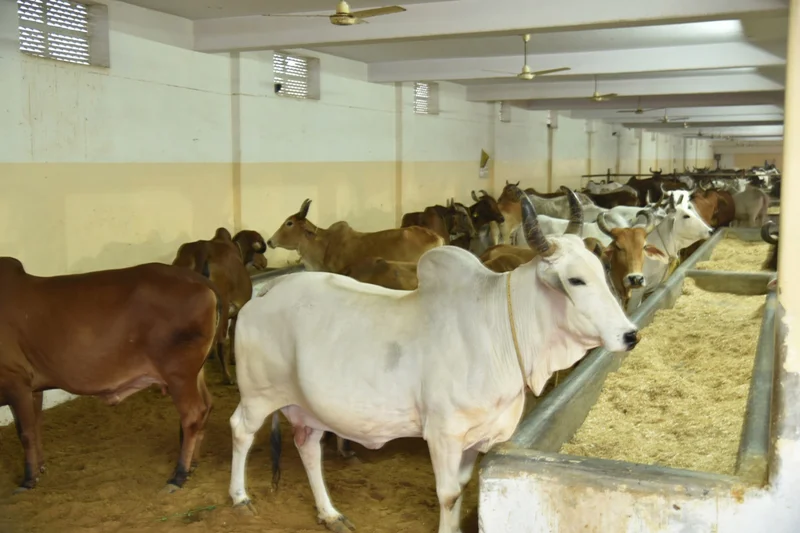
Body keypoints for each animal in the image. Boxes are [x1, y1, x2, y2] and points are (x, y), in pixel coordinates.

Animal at [0, 259, 220, 494]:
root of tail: (196, 279)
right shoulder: (33, 387)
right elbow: (36, 426)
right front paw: (40, 468)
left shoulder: (16, 382)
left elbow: (25, 434)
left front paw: (28, 479)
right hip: (195, 372)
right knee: (207, 406)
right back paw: (193, 464)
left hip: (178, 373)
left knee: (192, 415)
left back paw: (179, 476)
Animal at [173, 228, 267, 385]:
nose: (265, 261)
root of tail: (201, 251)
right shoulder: (237, 310)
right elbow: (233, 330)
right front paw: (233, 358)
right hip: (222, 304)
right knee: (221, 341)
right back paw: (228, 376)